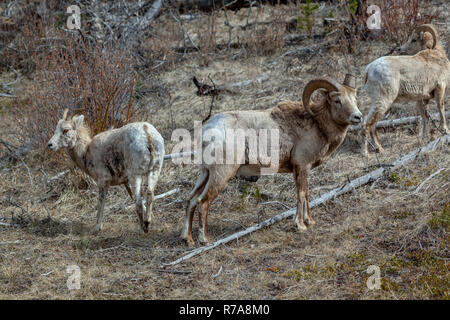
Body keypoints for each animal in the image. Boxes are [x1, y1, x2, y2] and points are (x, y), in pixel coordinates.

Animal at [181, 74, 364, 246]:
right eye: (337, 100)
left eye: (354, 99)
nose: (358, 117)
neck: (318, 125)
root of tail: (208, 130)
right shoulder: (302, 166)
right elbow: (301, 193)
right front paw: (300, 225)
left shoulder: (301, 170)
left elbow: (306, 193)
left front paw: (310, 221)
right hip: (221, 175)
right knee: (203, 202)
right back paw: (205, 239)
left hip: (205, 174)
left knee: (191, 200)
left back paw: (188, 239)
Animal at [362, 24, 450, 156]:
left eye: (413, 40)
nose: (400, 49)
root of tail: (369, 69)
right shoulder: (440, 88)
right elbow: (441, 108)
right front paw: (446, 131)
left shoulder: (423, 99)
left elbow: (425, 117)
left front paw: (425, 139)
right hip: (383, 101)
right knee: (367, 124)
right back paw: (366, 153)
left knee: (372, 124)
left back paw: (380, 150)